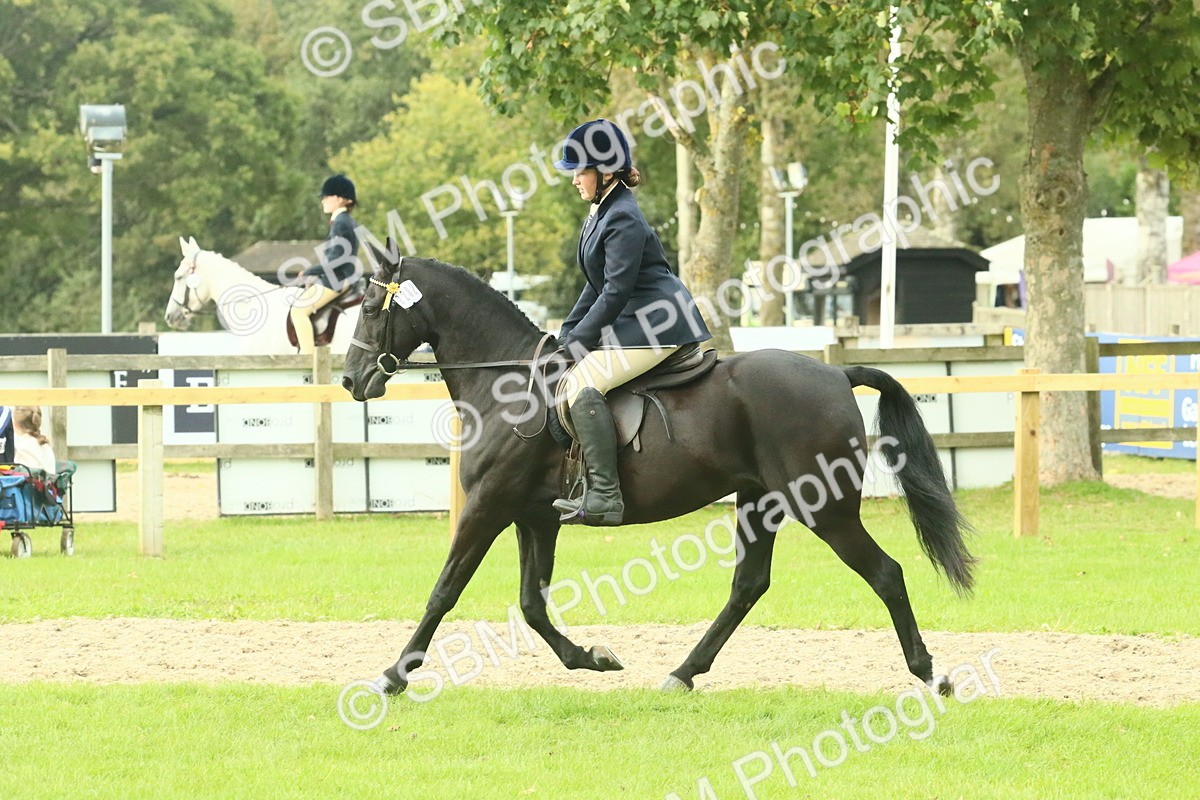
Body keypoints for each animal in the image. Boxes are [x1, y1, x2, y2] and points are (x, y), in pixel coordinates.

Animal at [341, 246, 977, 697]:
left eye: (371, 309)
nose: (350, 380)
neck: (507, 385)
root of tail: (836, 374)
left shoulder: (487, 508)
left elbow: (443, 592)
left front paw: (393, 676)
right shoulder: (534, 518)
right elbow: (531, 603)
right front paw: (591, 659)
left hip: (824, 508)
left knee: (886, 574)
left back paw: (931, 674)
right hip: (760, 502)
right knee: (748, 586)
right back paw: (683, 672)